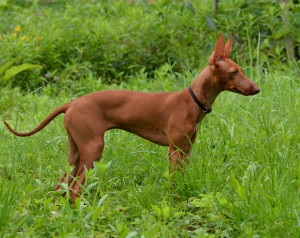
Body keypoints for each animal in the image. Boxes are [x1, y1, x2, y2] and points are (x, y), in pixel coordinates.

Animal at [3, 33, 258, 201]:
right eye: (233, 72)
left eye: (241, 70)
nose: (256, 89)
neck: (192, 100)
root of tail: (72, 103)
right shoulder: (174, 151)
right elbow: (173, 182)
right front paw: (175, 201)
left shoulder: (187, 150)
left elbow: (183, 177)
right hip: (93, 149)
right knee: (75, 188)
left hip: (75, 152)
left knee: (62, 184)